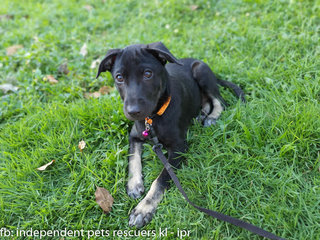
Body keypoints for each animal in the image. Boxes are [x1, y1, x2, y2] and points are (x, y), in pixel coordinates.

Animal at [96, 42, 244, 228]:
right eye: (119, 77)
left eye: (148, 74)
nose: (133, 112)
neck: (153, 118)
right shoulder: (134, 136)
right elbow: (133, 158)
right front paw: (134, 184)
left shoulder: (179, 147)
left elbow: (161, 179)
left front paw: (143, 209)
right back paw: (201, 115)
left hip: (201, 71)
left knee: (219, 100)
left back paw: (211, 117)